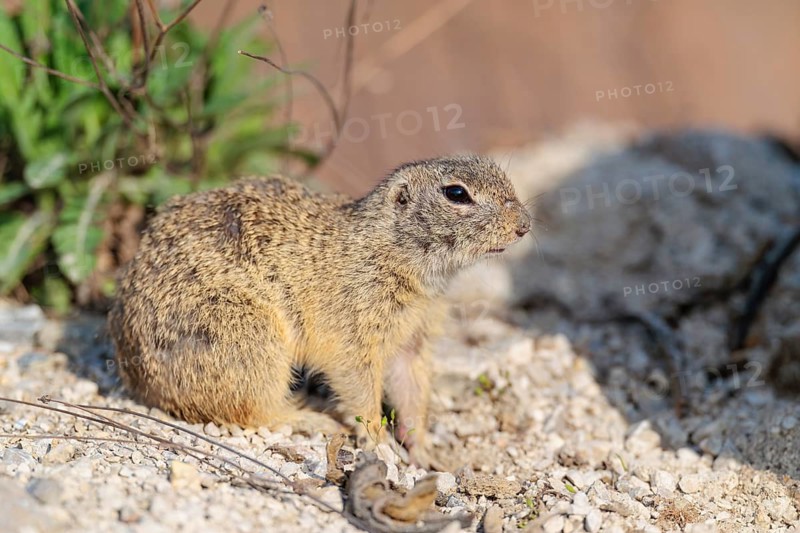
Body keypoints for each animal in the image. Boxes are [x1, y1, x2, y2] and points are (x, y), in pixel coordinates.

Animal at [109, 155, 531, 469]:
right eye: (456, 193)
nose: (524, 225)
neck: (391, 250)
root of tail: (137, 379)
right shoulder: (354, 333)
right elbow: (361, 391)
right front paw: (380, 444)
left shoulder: (414, 337)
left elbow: (411, 393)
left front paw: (428, 454)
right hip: (248, 342)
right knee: (253, 412)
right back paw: (310, 416)